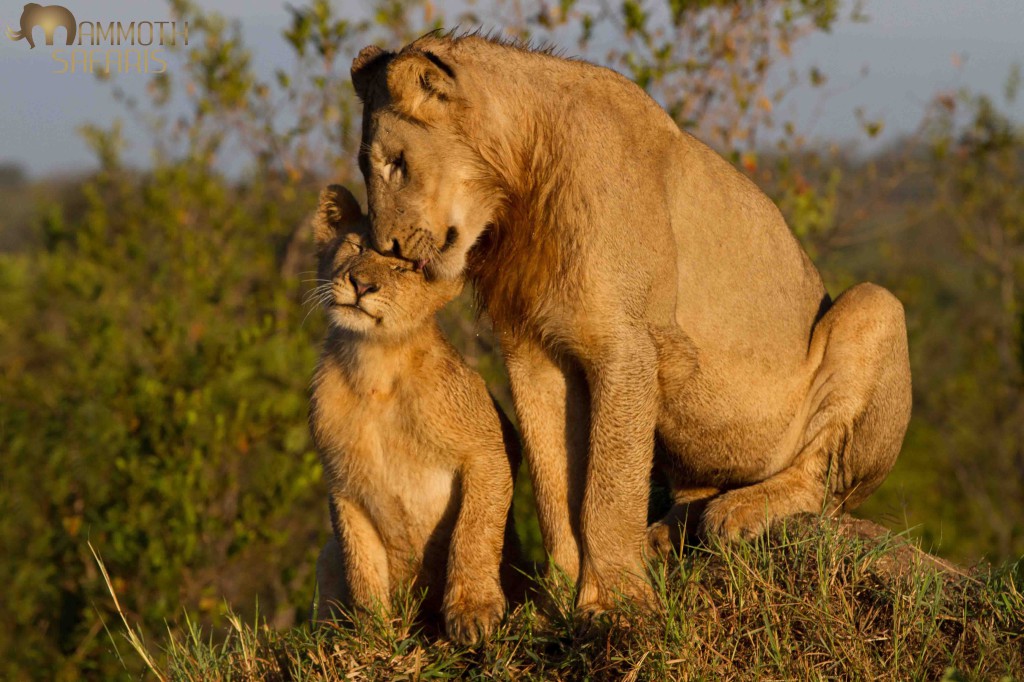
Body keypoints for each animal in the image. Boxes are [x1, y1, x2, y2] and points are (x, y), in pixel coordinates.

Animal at [307, 184, 521, 643]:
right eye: (355, 248)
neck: (374, 369)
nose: (361, 284)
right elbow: (360, 562)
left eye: (404, 269)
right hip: (325, 553)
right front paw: (370, 636)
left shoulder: (489, 449)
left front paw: (473, 613)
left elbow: (474, 531)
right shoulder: (342, 481)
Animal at [348, 33, 912, 614]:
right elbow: (554, 483)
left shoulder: (626, 346)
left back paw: (739, 512)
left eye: (396, 164)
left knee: (821, 484)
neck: (518, 194)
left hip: (877, 305)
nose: (386, 247)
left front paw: (615, 597)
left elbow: (609, 487)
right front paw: (559, 595)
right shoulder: (533, 350)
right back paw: (665, 534)